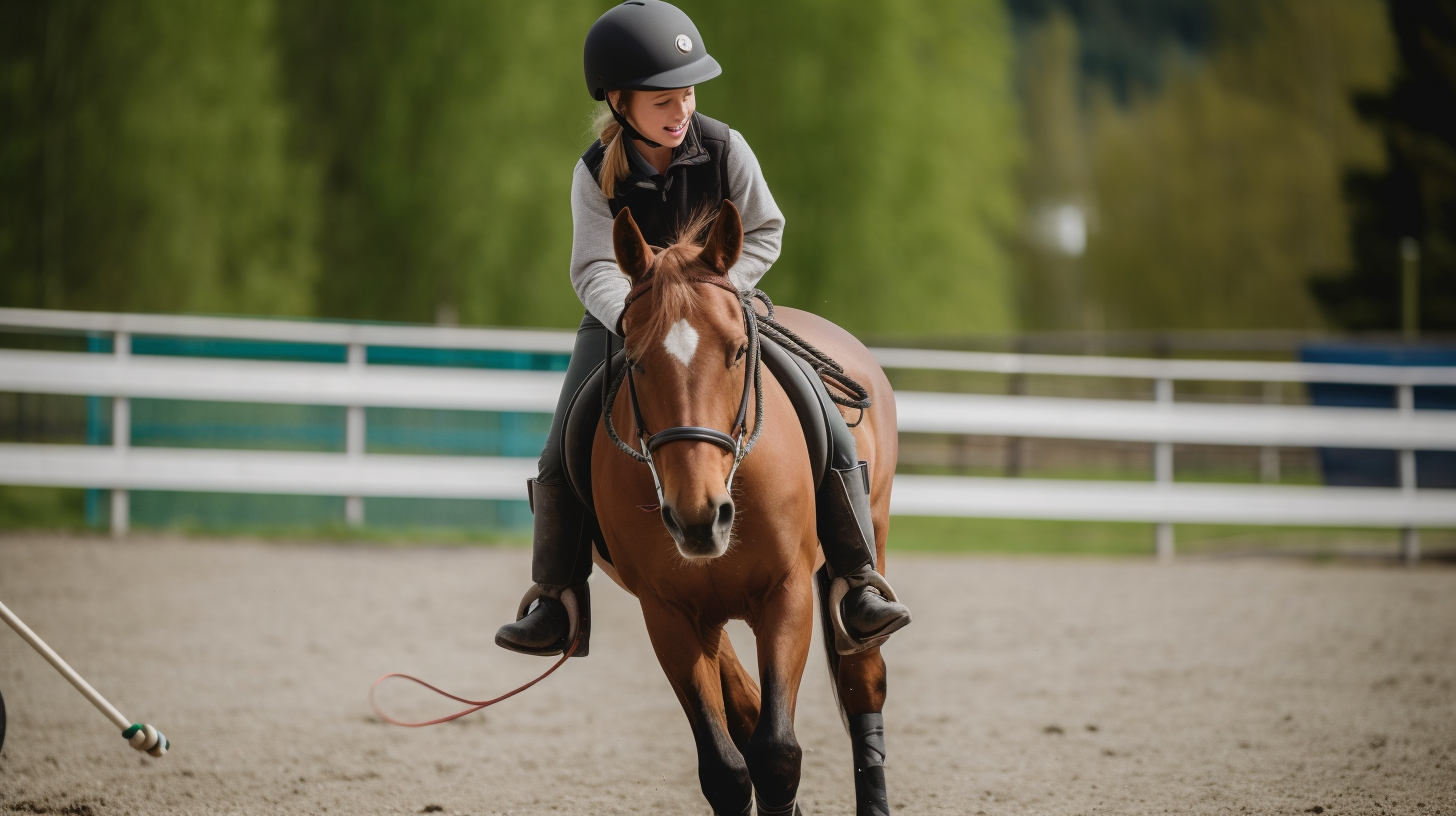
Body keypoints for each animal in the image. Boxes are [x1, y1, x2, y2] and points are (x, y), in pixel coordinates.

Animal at [591, 202, 896, 816]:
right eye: (634, 360)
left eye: (735, 351)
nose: (698, 517)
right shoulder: (667, 614)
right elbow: (727, 768)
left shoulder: (787, 595)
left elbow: (777, 753)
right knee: (746, 705)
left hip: (869, 538)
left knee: (863, 678)